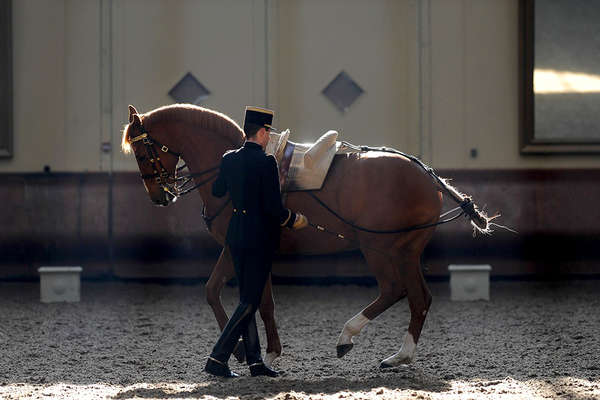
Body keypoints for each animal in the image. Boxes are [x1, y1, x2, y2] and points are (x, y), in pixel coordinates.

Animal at [119, 103, 490, 368]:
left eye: (142, 152)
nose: (159, 196)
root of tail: (426, 173)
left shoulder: (239, 246)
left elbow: (228, 295)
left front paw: (244, 352)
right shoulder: (248, 250)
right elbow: (251, 299)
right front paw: (259, 352)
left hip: (379, 247)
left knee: (395, 290)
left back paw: (348, 336)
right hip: (405, 251)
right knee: (419, 298)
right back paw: (401, 355)